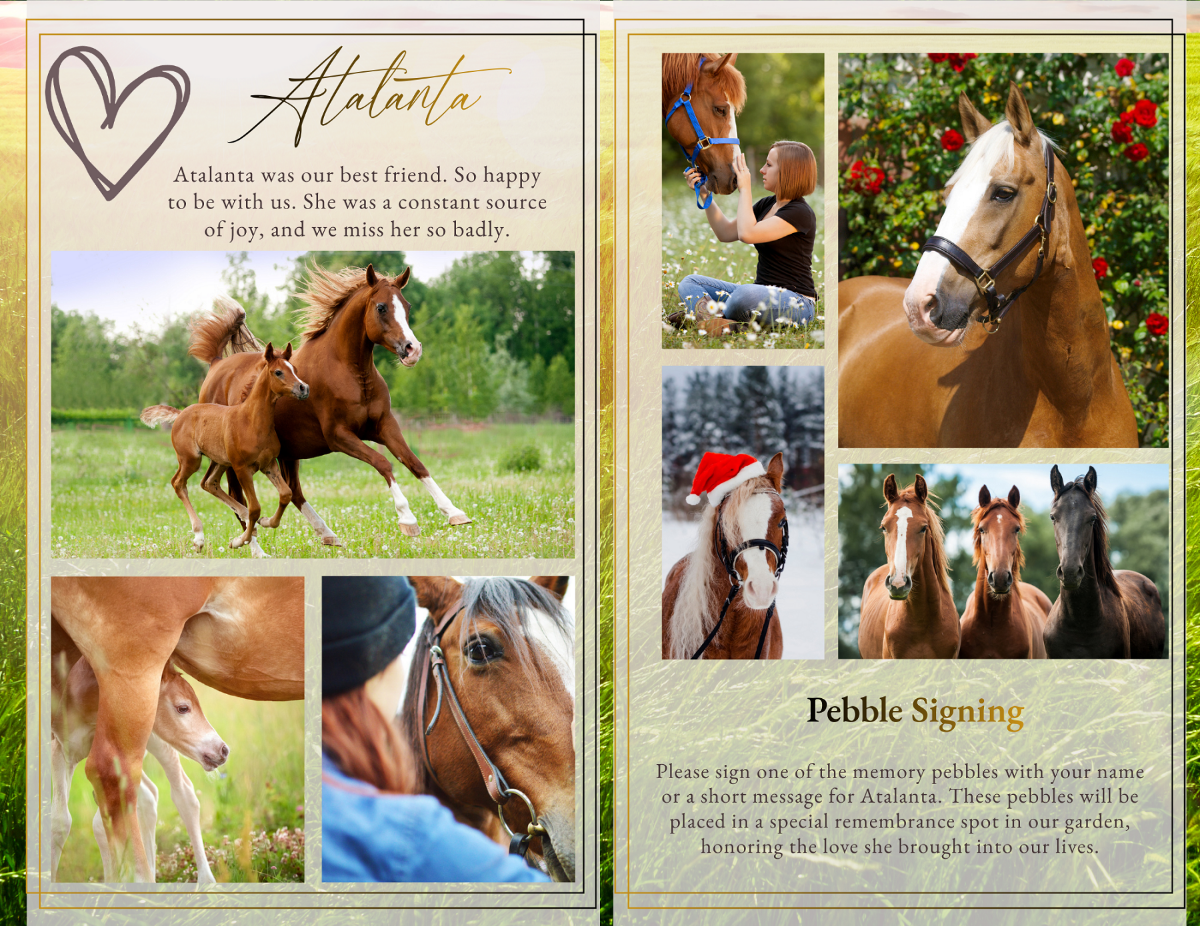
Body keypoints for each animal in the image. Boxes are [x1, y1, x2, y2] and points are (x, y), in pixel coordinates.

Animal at [51, 655, 226, 883]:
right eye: (183, 708)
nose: (223, 750)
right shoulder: (61, 750)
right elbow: (61, 822)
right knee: (147, 796)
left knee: (182, 793)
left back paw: (205, 882)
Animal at [141, 342, 309, 557]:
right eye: (278, 372)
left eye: (294, 369)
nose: (303, 388)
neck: (251, 421)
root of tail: (181, 414)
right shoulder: (241, 468)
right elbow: (255, 507)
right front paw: (238, 541)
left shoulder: (269, 464)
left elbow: (285, 494)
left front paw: (265, 522)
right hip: (191, 460)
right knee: (178, 483)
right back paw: (199, 538)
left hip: (220, 461)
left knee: (209, 483)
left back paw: (245, 520)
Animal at [191, 265, 471, 546]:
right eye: (381, 307)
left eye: (407, 306)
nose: (413, 350)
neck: (349, 372)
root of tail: (216, 364)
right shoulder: (339, 436)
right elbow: (383, 463)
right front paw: (407, 519)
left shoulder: (384, 426)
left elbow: (415, 463)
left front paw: (455, 513)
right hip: (234, 460)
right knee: (238, 498)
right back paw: (252, 545)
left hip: (288, 453)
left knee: (293, 492)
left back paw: (326, 534)